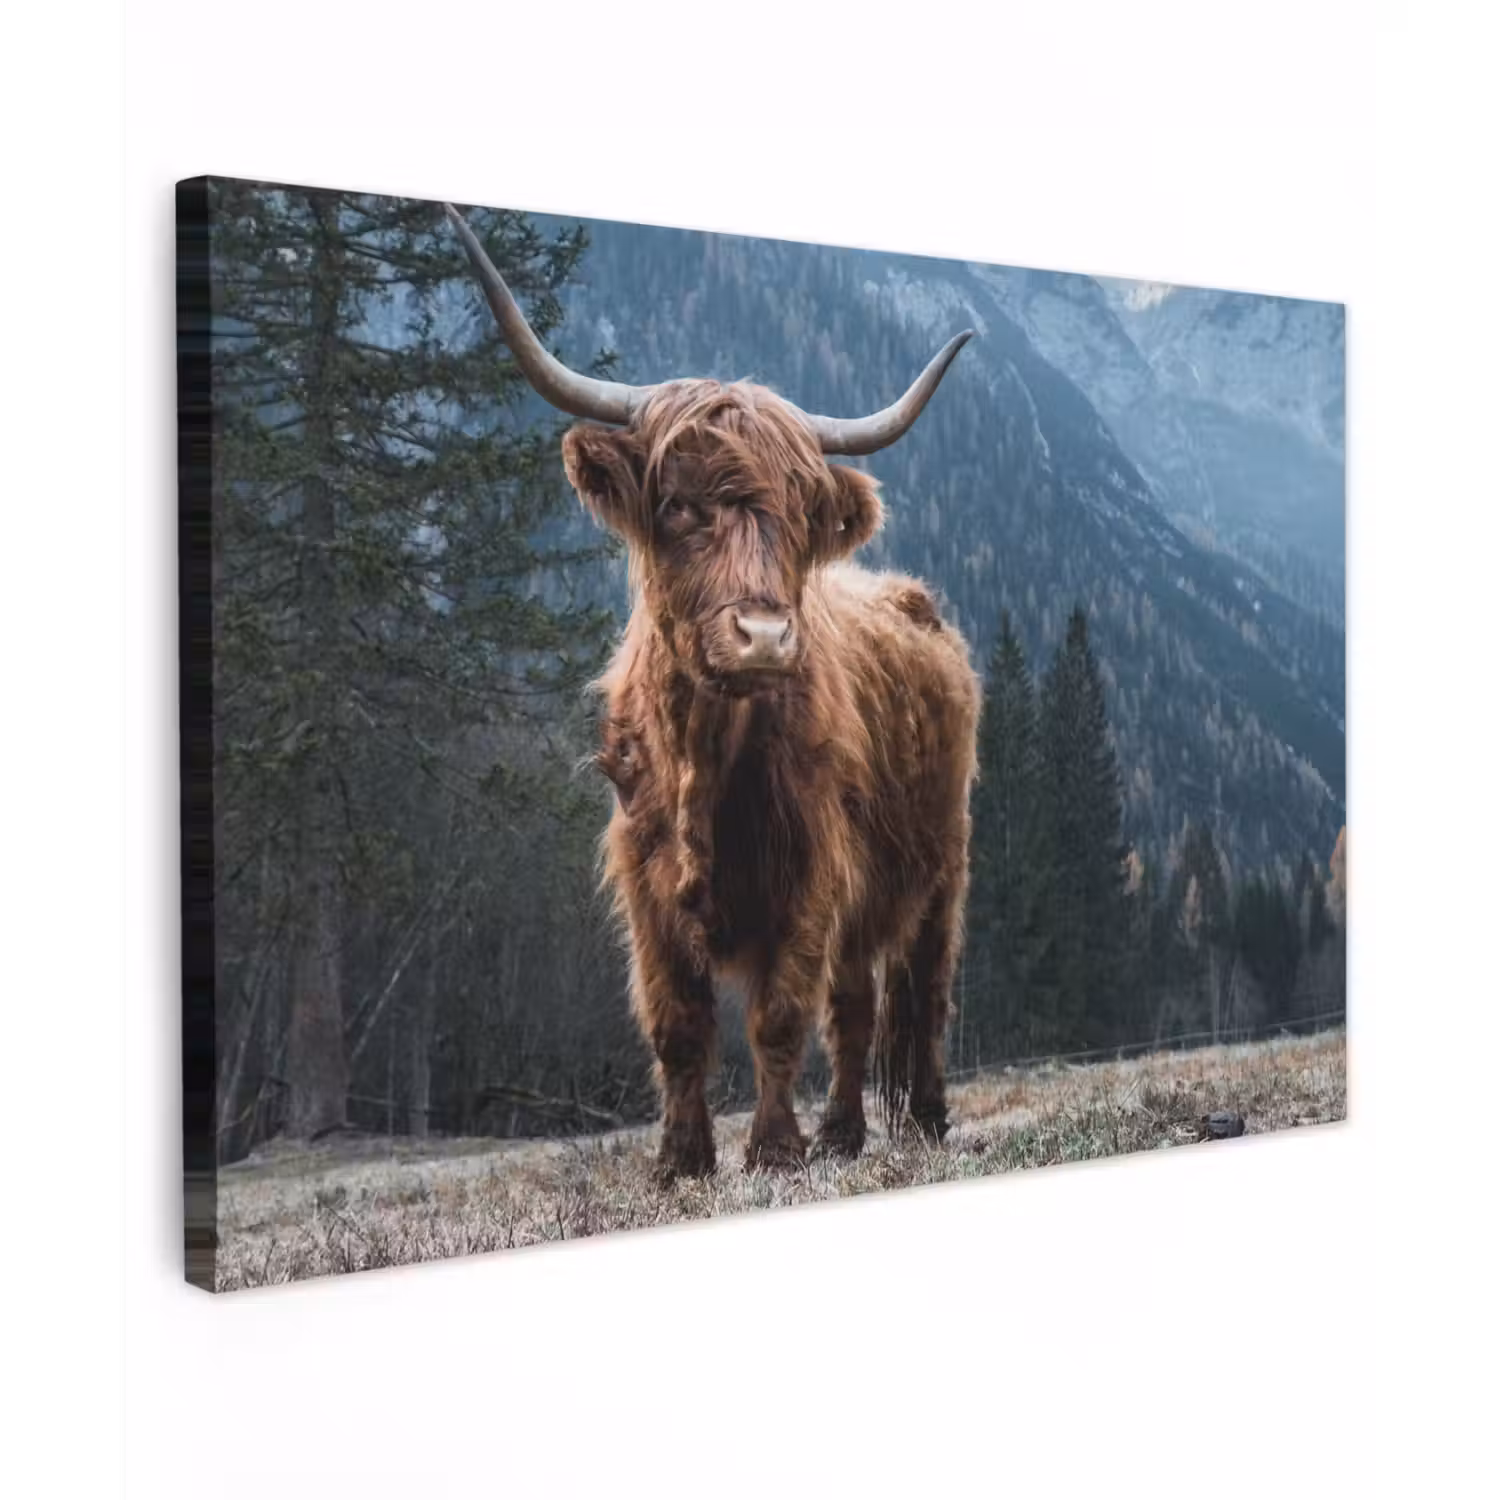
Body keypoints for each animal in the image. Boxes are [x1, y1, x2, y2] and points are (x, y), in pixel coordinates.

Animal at [446, 204, 982, 1181]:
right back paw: (844, 1133)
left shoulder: (811, 871)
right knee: (855, 1007)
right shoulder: (645, 880)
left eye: (801, 514)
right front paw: (682, 1160)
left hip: (941, 864)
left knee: (922, 992)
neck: (705, 748)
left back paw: (918, 1119)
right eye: (679, 505)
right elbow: (678, 1025)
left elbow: (778, 1016)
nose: (765, 637)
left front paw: (772, 1150)